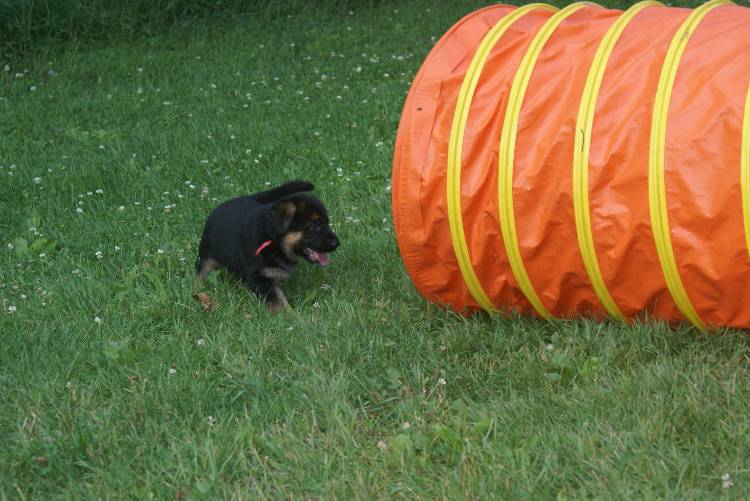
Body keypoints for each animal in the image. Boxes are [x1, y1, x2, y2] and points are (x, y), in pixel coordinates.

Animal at [195, 180, 340, 312]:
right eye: (314, 226)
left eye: (327, 223)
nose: (337, 243)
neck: (273, 239)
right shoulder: (259, 277)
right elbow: (277, 300)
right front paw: (289, 317)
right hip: (206, 254)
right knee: (201, 272)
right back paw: (198, 288)